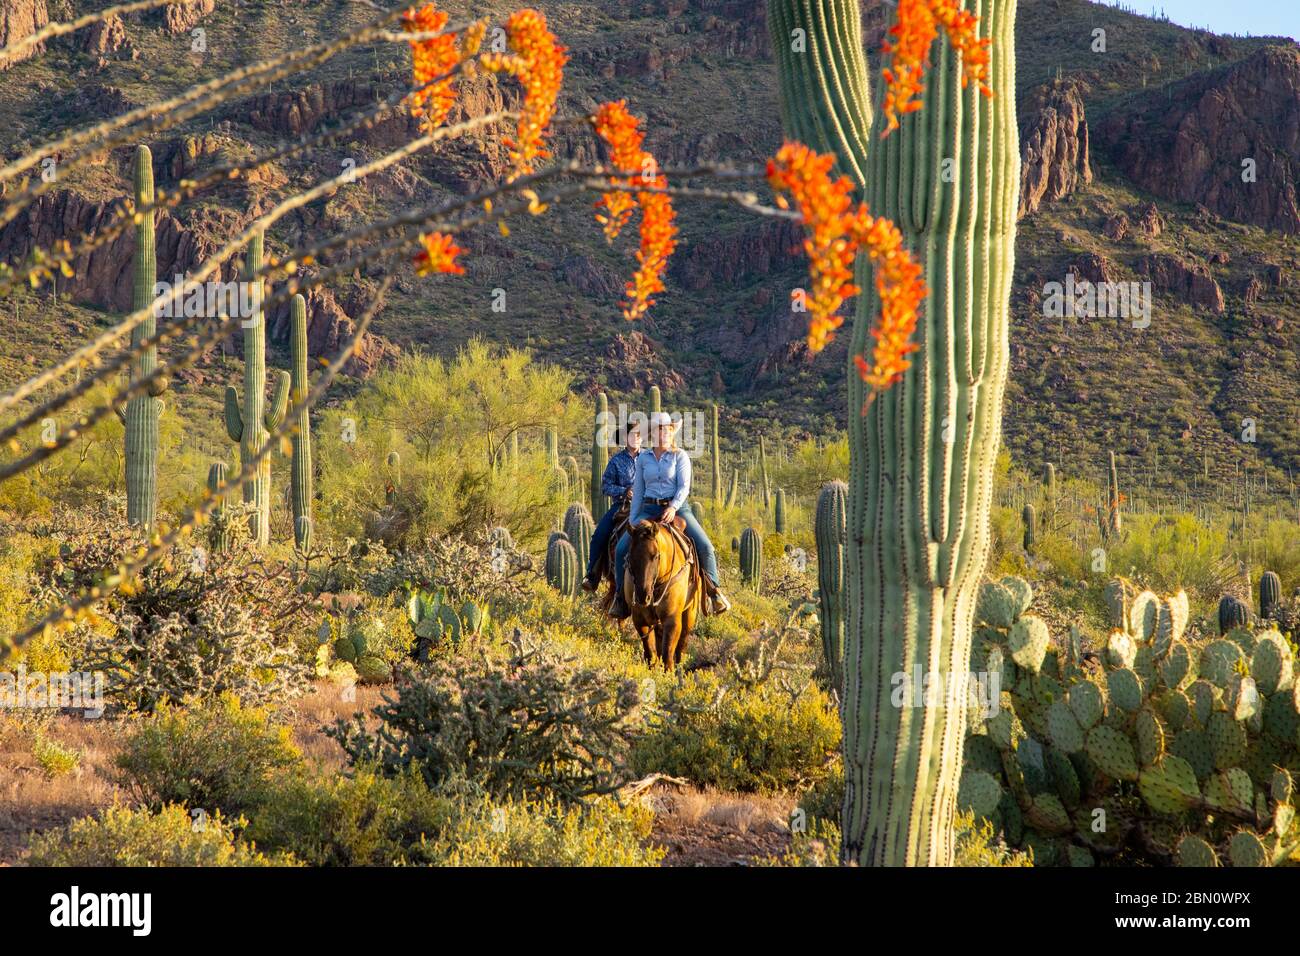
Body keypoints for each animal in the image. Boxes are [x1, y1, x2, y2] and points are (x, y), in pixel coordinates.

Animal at [618, 520, 702, 671]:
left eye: (656, 556)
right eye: (630, 556)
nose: (642, 596)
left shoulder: (672, 619)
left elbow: (667, 655)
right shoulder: (639, 619)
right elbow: (651, 654)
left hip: (689, 615)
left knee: (682, 646)